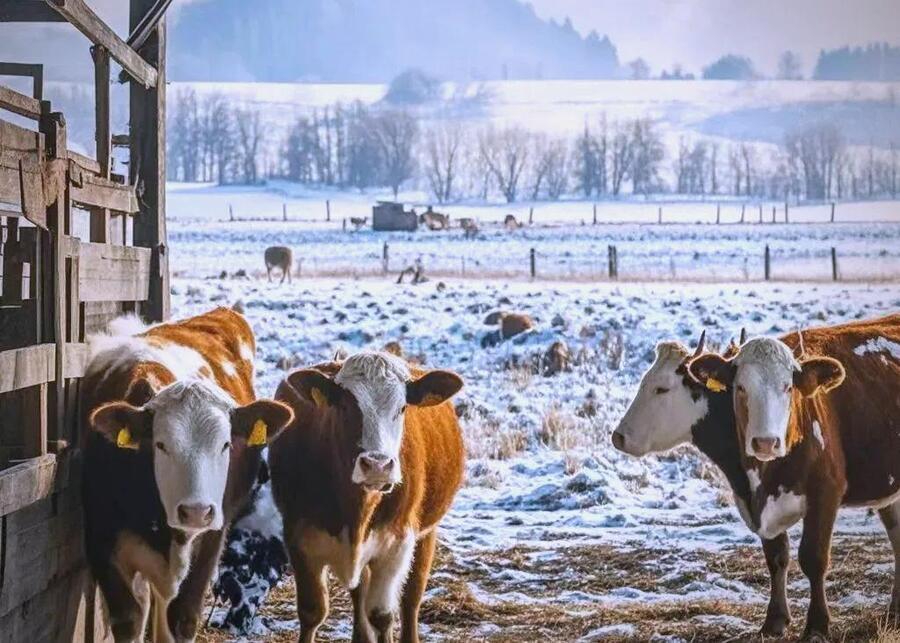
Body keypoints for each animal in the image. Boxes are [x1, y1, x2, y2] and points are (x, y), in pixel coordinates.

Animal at [80, 308, 293, 641]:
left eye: (226, 444)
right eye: (160, 444)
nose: (196, 512)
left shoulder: (211, 541)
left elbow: (183, 617)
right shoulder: (101, 540)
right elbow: (129, 618)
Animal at [268, 350, 465, 643]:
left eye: (402, 408)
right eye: (344, 406)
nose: (377, 465)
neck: (357, 508)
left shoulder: (397, 543)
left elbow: (382, 615)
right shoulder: (299, 538)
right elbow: (312, 611)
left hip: (426, 533)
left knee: (411, 596)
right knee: (360, 591)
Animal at [613, 315, 900, 640]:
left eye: (661, 389)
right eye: (740, 387)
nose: (618, 436)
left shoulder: (825, 492)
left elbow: (813, 558)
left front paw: (817, 626)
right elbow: (776, 558)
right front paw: (774, 621)